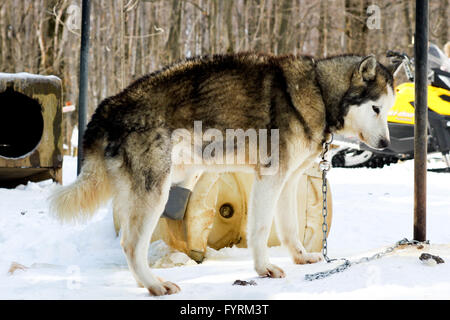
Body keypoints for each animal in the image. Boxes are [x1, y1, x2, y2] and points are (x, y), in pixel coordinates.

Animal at [51, 52, 400, 296]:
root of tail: (108, 106)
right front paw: (264, 268)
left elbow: (290, 229)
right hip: (156, 193)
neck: (318, 91)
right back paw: (155, 285)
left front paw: (300, 258)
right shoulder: (269, 180)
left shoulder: (288, 183)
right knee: (130, 244)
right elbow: (260, 229)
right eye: (375, 109)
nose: (386, 144)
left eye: (387, 109)